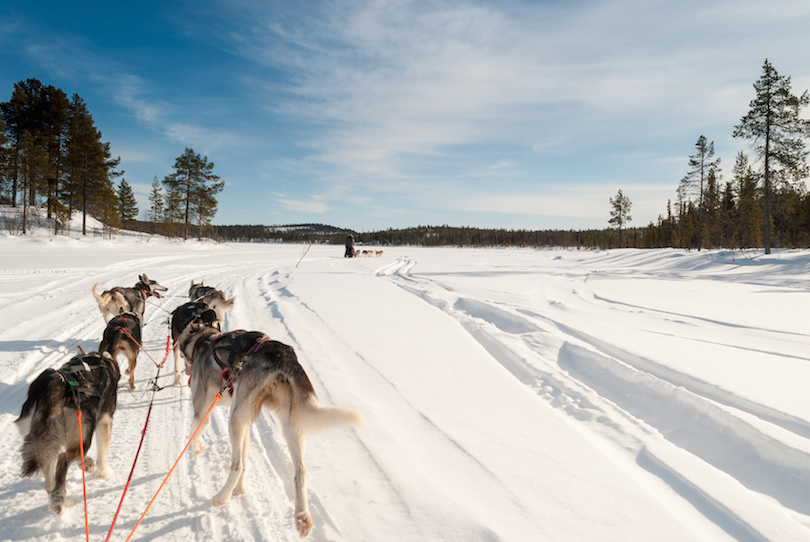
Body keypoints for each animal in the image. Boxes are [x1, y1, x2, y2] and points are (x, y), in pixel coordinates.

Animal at [15, 350, 120, 516]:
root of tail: (55, 383)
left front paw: (87, 463)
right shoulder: (104, 420)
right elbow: (102, 454)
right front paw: (104, 473)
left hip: (45, 439)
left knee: (49, 477)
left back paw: (61, 499)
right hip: (83, 433)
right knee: (62, 459)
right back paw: (60, 499)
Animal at [178, 320, 364, 536]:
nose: (186, 372)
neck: (204, 339)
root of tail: (283, 357)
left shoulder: (203, 411)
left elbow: (195, 431)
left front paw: (197, 449)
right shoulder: (245, 421)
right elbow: (245, 455)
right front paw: (240, 488)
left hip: (234, 419)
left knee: (236, 465)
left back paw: (221, 497)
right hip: (289, 424)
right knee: (300, 472)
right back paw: (302, 517)